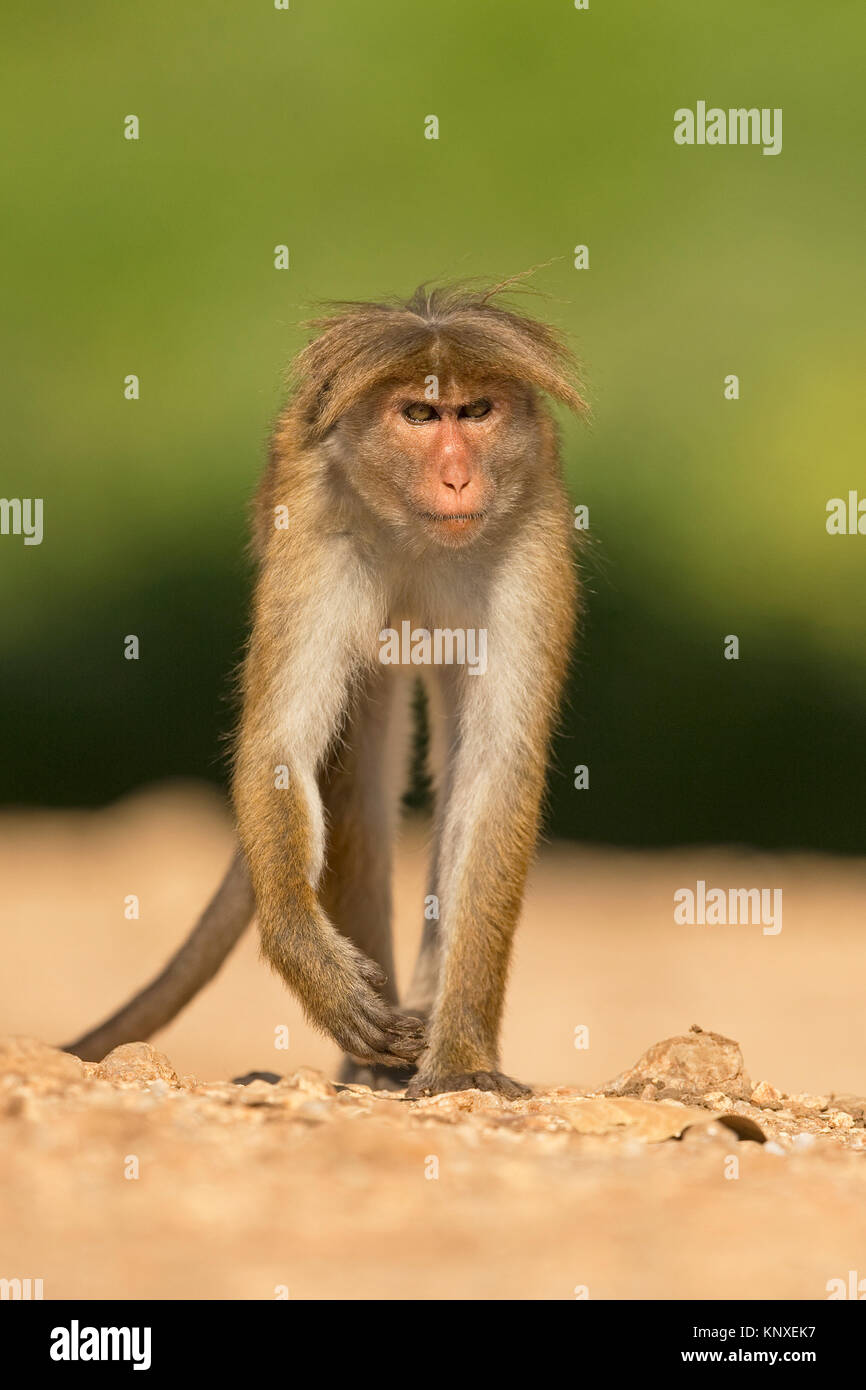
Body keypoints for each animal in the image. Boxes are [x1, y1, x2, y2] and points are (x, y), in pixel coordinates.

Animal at [66, 280, 587, 1097]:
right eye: (420, 415)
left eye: (475, 411)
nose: (458, 477)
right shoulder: (317, 530)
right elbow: (282, 747)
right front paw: (313, 964)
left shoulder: (529, 539)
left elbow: (494, 772)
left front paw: (463, 1058)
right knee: (354, 761)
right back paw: (373, 1064)